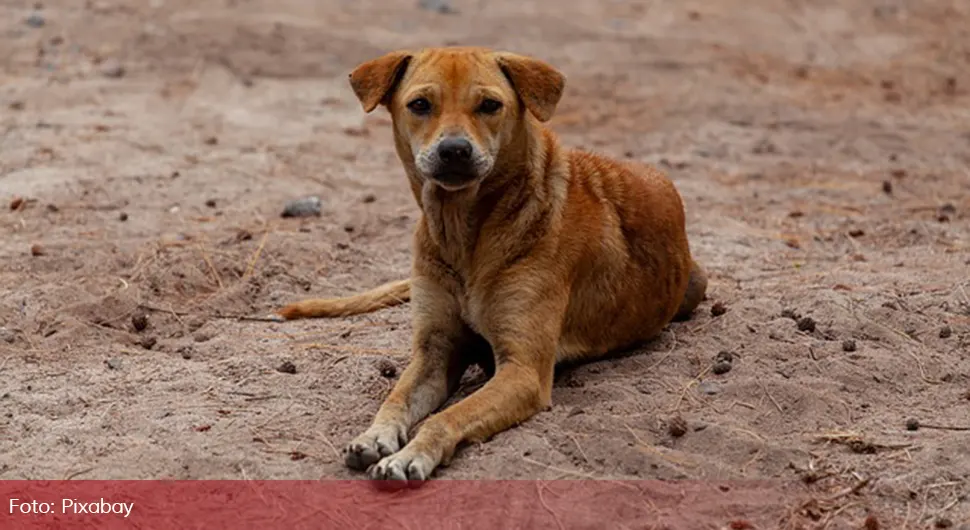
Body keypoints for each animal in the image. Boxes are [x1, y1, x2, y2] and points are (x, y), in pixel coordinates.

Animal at [276, 46, 708, 482]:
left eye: (489, 105)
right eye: (420, 105)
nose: (454, 150)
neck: (464, 234)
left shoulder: (523, 371)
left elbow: (446, 417)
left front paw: (411, 454)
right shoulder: (434, 351)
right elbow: (395, 398)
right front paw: (374, 435)